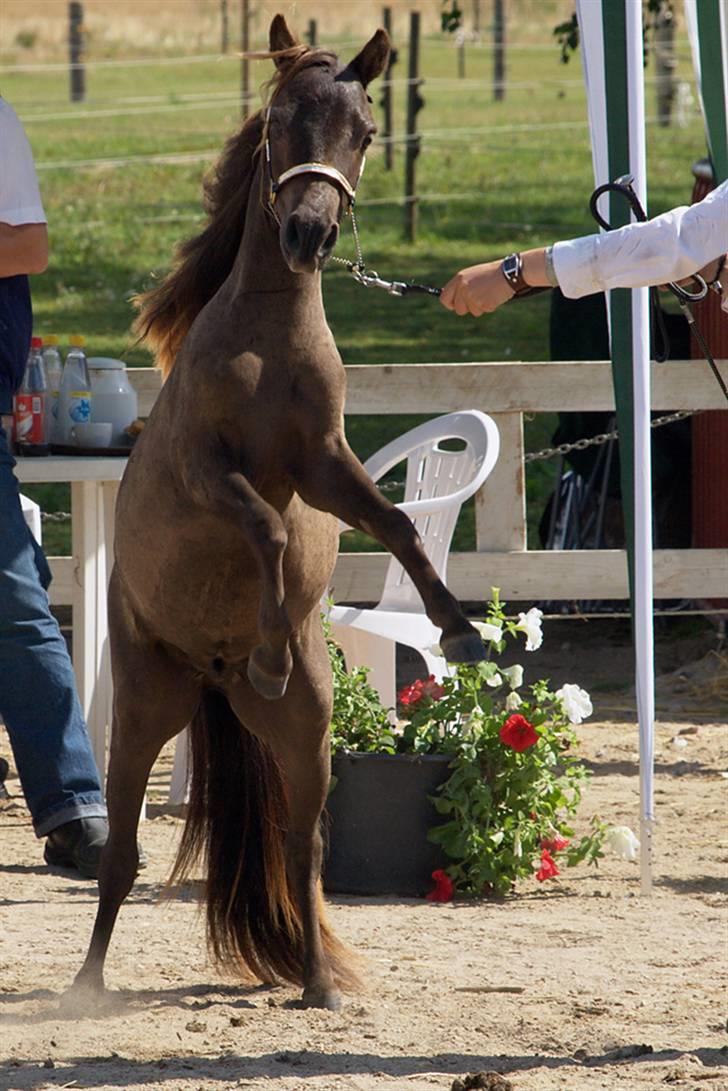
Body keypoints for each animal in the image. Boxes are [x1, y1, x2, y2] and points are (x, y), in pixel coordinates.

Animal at [74, 12, 486, 1008]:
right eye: (280, 122)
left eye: (364, 131)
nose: (307, 233)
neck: (270, 334)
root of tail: (211, 680)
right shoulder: (207, 471)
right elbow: (261, 524)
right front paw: (267, 642)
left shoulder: (323, 465)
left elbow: (398, 524)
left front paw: (459, 630)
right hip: (144, 708)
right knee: (120, 858)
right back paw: (85, 985)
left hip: (307, 733)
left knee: (303, 850)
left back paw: (315, 982)